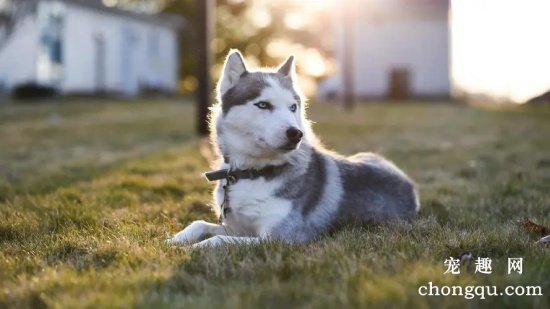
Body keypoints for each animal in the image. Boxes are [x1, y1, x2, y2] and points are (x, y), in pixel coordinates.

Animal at [166, 50, 420, 248]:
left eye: (292, 107)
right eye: (263, 105)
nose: (296, 133)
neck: (252, 172)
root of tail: (410, 185)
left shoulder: (280, 238)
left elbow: (218, 240)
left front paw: (193, 249)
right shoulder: (238, 228)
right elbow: (199, 224)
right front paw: (174, 240)